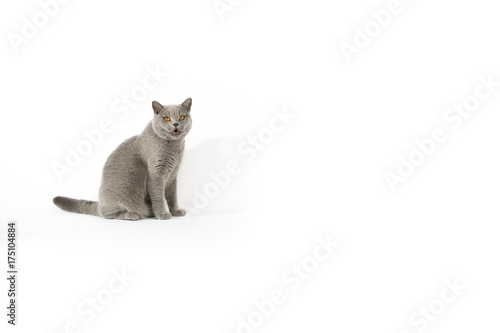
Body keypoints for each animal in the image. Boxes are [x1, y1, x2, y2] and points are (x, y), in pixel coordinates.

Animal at [53, 97, 192, 219]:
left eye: (181, 117)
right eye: (167, 118)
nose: (175, 124)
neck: (174, 147)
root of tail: (100, 203)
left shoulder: (173, 175)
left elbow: (172, 196)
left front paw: (176, 211)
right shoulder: (156, 174)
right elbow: (158, 197)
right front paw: (162, 214)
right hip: (124, 193)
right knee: (107, 213)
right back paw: (132, 215)